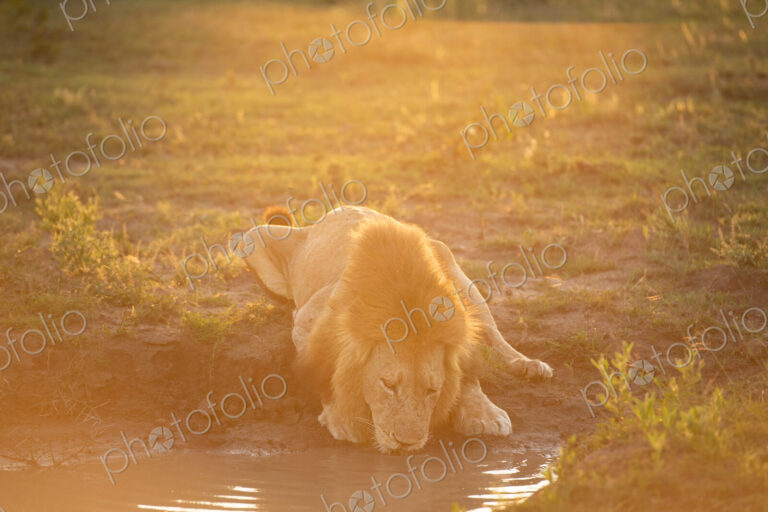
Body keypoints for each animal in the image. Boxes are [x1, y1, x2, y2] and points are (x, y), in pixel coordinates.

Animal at [243, 206, 552, 452]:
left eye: (432, 390)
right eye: (388, 385)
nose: (407, 443)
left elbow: (466, 370)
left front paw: (485, 415)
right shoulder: (308, 324)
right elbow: (325, 367)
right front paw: (343, 420)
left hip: (449, 262)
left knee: (494, 335)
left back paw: (530, 365)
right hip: (249, 237)